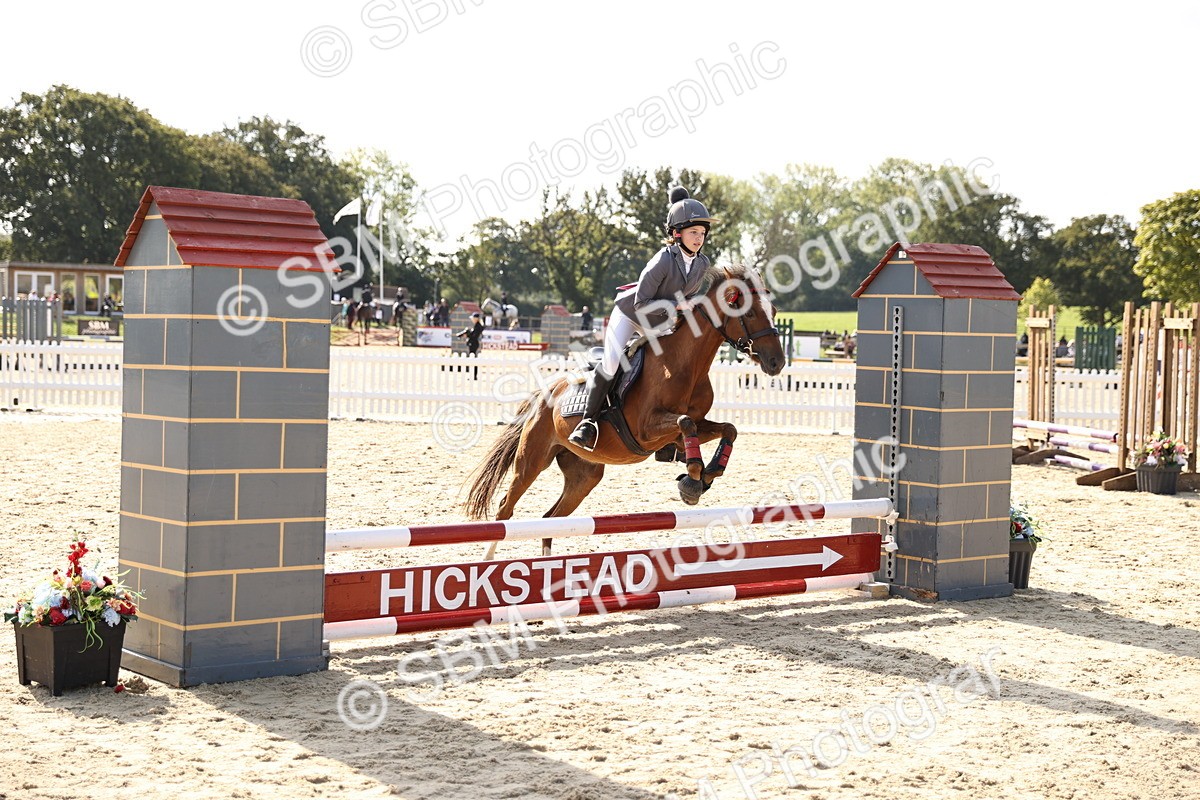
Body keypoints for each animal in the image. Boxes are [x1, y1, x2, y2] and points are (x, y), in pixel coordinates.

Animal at [466, 264, 785, 557]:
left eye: (774, 310)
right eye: (750, 313)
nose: (777, 363)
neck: (686, 363)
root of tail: (545, 395)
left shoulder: (693, 424)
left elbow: (726, 429)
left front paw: (707, 474)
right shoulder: (646, 429)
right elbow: (686, 424)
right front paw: (692, 482)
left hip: (584, 475)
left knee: (551, 520)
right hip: (531, 461)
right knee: (505, 510)